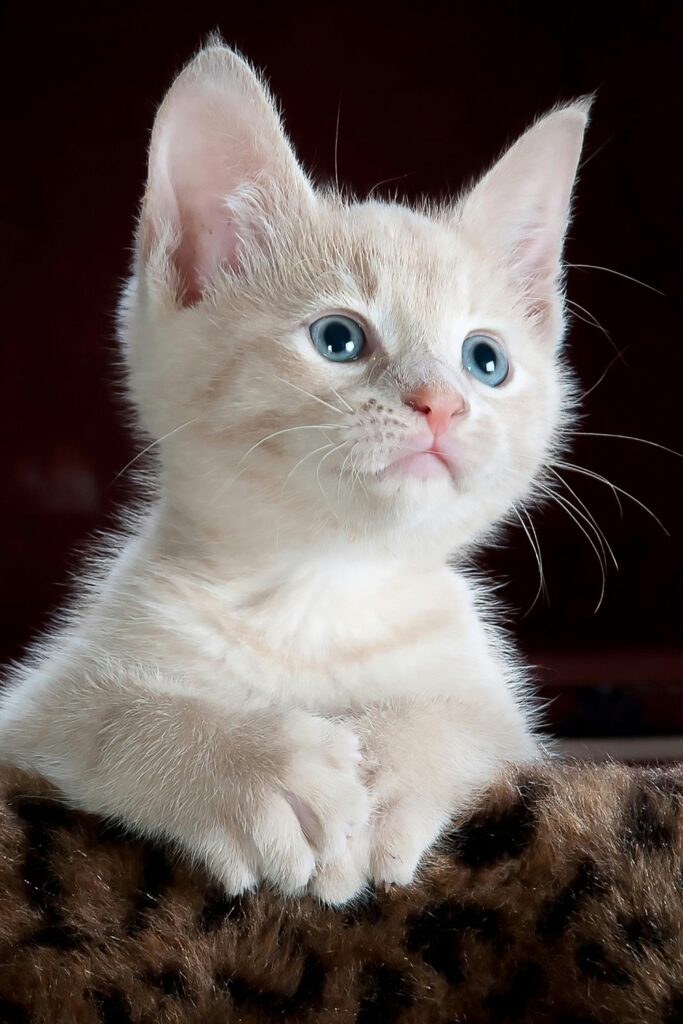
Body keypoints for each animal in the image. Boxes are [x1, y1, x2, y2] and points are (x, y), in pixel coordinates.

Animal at [0, 41, 589, 905]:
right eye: (338, 339)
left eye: (485, 360)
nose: (443, 404)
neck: (321, 589)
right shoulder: (28, 717)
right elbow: (106, 717)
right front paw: (246, 767)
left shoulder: (508, 727)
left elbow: (462, 720)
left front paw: (388, 769)